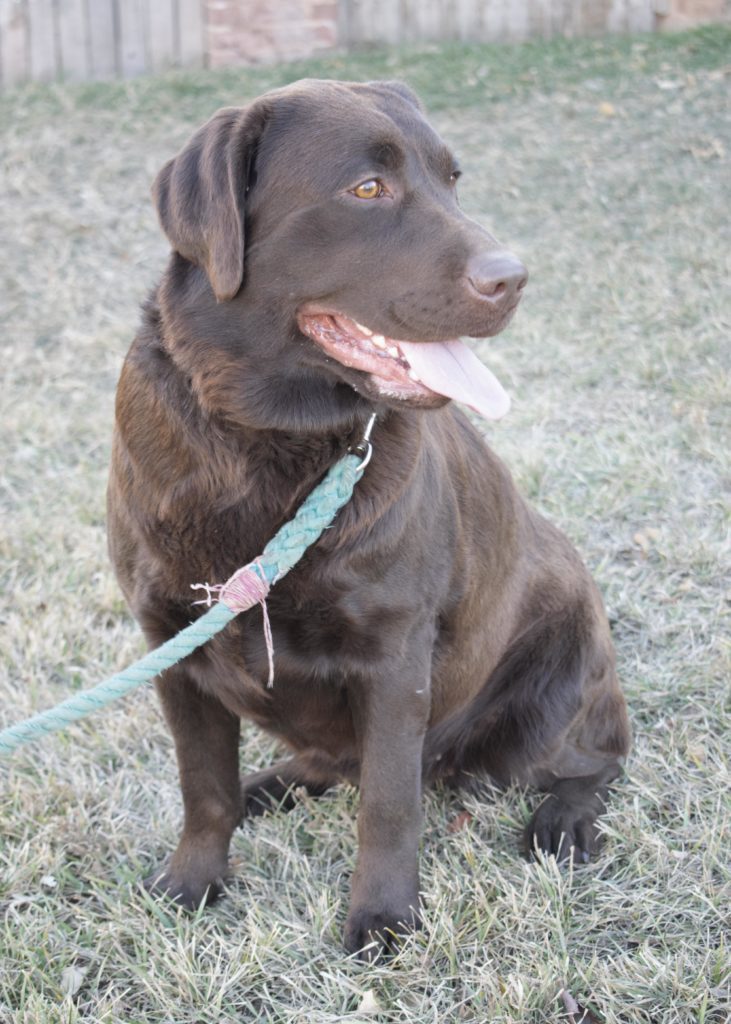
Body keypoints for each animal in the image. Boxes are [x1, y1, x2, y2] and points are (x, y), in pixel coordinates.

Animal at [106, 77, 626, 950]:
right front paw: (194, 881)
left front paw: (383, 918)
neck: (264, 442)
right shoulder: (172, 642)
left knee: (595, 761)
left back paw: (563, 822)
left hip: (549, 690)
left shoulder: (393, 655)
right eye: (367, 189)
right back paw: (268, 787)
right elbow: (201, 783)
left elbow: (387, 800)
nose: (513, 278)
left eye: (451, 180)